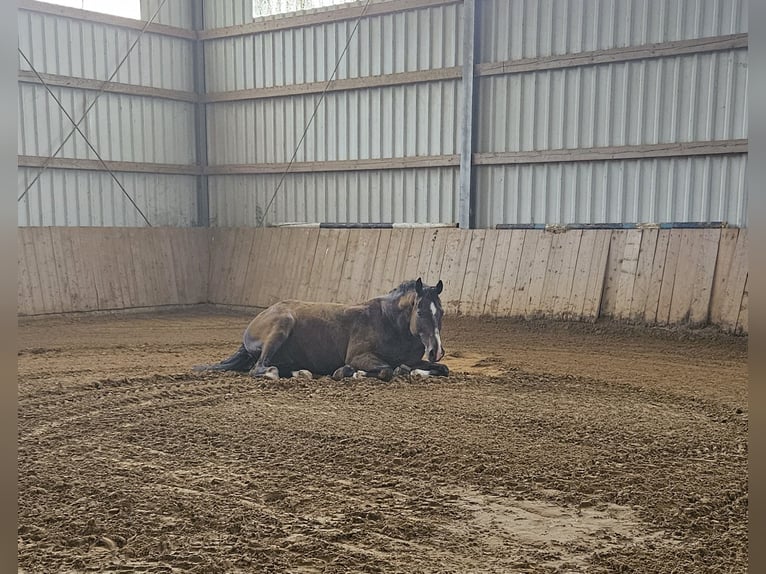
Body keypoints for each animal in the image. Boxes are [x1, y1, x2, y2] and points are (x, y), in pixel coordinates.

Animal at [195, 280, 452, 382]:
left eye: (441, 312)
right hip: (281, 326)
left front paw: (417, 371)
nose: (436, 351)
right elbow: (387, 370)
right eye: (420, 312)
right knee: (260, 368)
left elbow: (442, 370)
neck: (388, 323)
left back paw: (301, 373)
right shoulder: (360, 357)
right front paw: (351, 373)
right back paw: (274, 374)